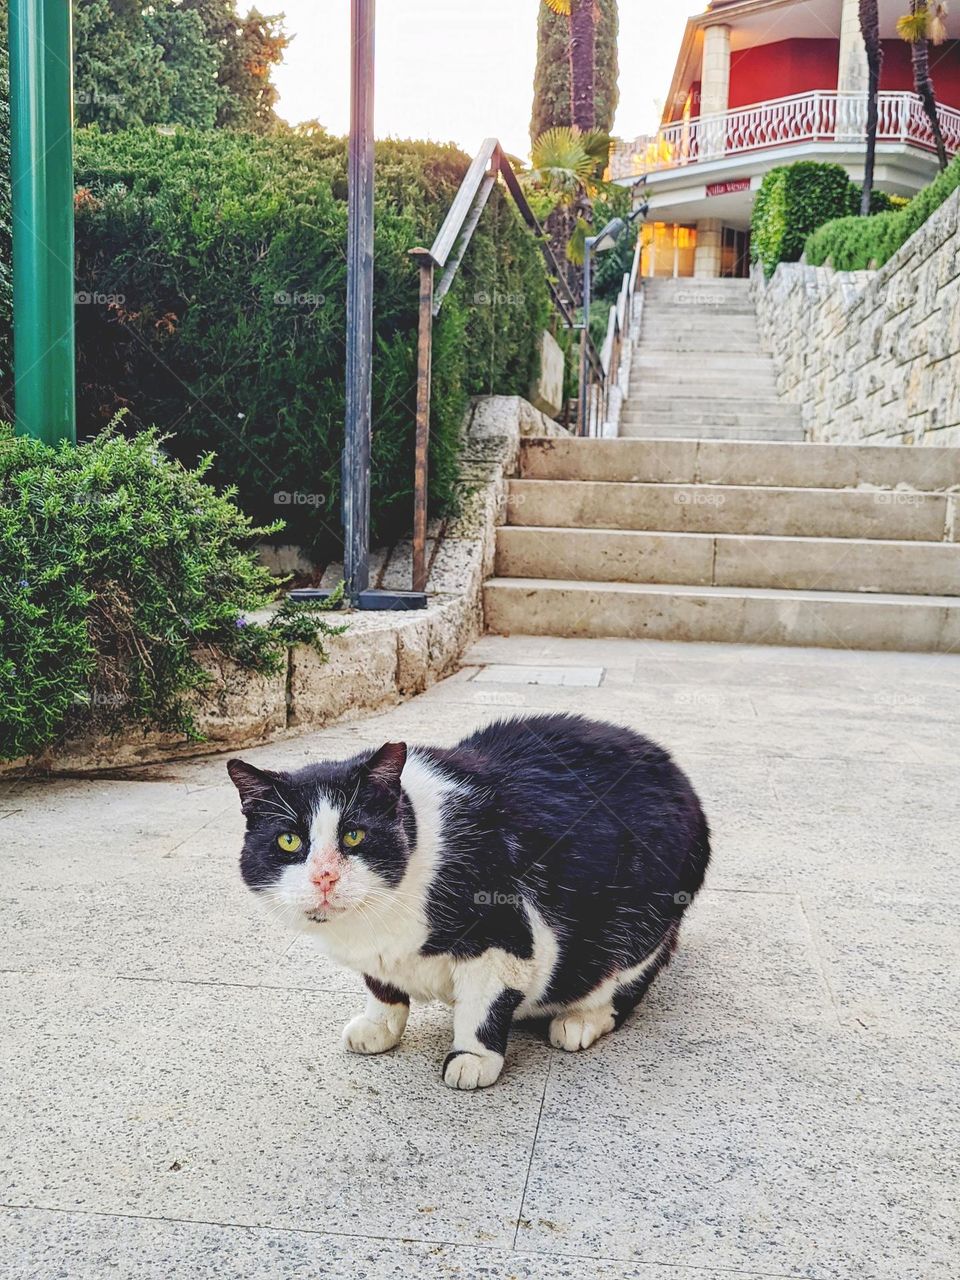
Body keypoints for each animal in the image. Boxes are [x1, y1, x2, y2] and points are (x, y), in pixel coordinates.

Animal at [229, 711, 711, 1090]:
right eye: (289, 840)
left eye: (354, 835)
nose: (324, 876)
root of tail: (679, 773)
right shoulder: (375, 955)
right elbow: (381, 987)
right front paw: (379, 1026)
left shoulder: (506, 932)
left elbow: (483, 1004)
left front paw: (472, 1059)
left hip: (642, 923)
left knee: (624, 979)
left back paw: (581, 1019)